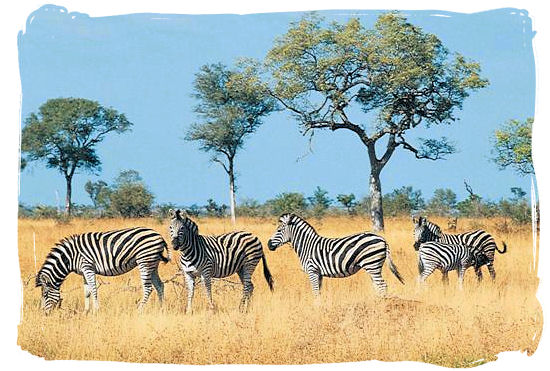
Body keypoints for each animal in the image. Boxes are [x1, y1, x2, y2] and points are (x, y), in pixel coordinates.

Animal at [35, 227, 171, 314]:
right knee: (160, 285)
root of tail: (159, 235)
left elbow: (93, 289)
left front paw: (96, 311)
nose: (43, 314)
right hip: (153, 263)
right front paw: (86, 312)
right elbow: (87, 292)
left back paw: (139, 310)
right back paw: (161, 309)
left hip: (144, 261)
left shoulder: (88, 267)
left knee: (148, 288)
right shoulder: (84, 272)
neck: (70, 257)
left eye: (45, 295)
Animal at [268, 215, 406, 300]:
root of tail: (383, 239)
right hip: (373, 266)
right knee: (378, 285)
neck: (307, 245)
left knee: (382, 285)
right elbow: (319, 292)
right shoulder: (319, 273)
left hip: (372, 264)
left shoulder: (312, 270)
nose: (269, 245)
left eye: (279, 230)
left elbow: (315, 292)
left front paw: (316, 309)